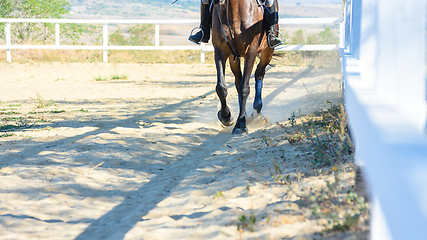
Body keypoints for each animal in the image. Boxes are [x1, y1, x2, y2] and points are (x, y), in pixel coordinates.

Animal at [212, 0, 280, 134]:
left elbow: (244, 88)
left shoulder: (251, 51)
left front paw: (240, 124)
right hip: (234, 57)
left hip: (268, 51)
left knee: (259, 73)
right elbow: (221, 88)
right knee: (238, 80)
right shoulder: (220, 51)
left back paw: (257, 110)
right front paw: (226, 116)